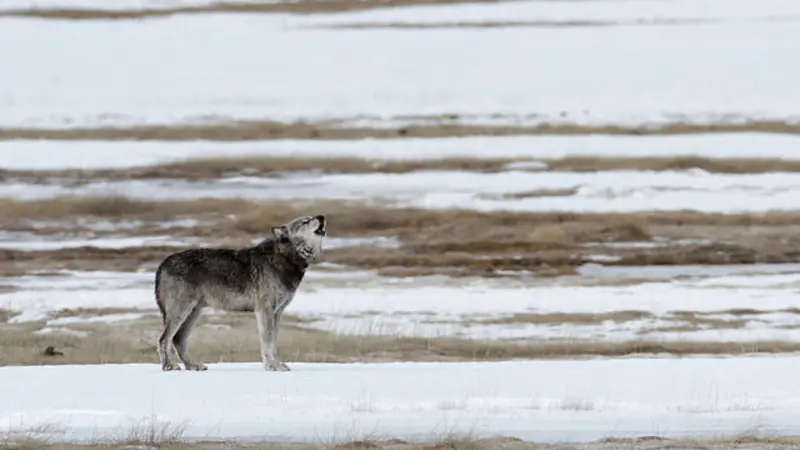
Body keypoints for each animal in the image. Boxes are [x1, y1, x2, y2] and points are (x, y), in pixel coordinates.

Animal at [154, 214, 327, 372]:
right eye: (305, 221)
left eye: (312, 217)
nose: (322, 217)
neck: (285, 258)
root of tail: (163, 263)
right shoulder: (265, 311)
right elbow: (267, 342)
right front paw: (272, 366)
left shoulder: (277, 313)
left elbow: (274, 343)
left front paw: (276, 364)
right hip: (181, 312)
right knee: (164, 339)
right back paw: (168, 366)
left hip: (193, 313)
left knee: (178, 339)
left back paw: (192, 366)